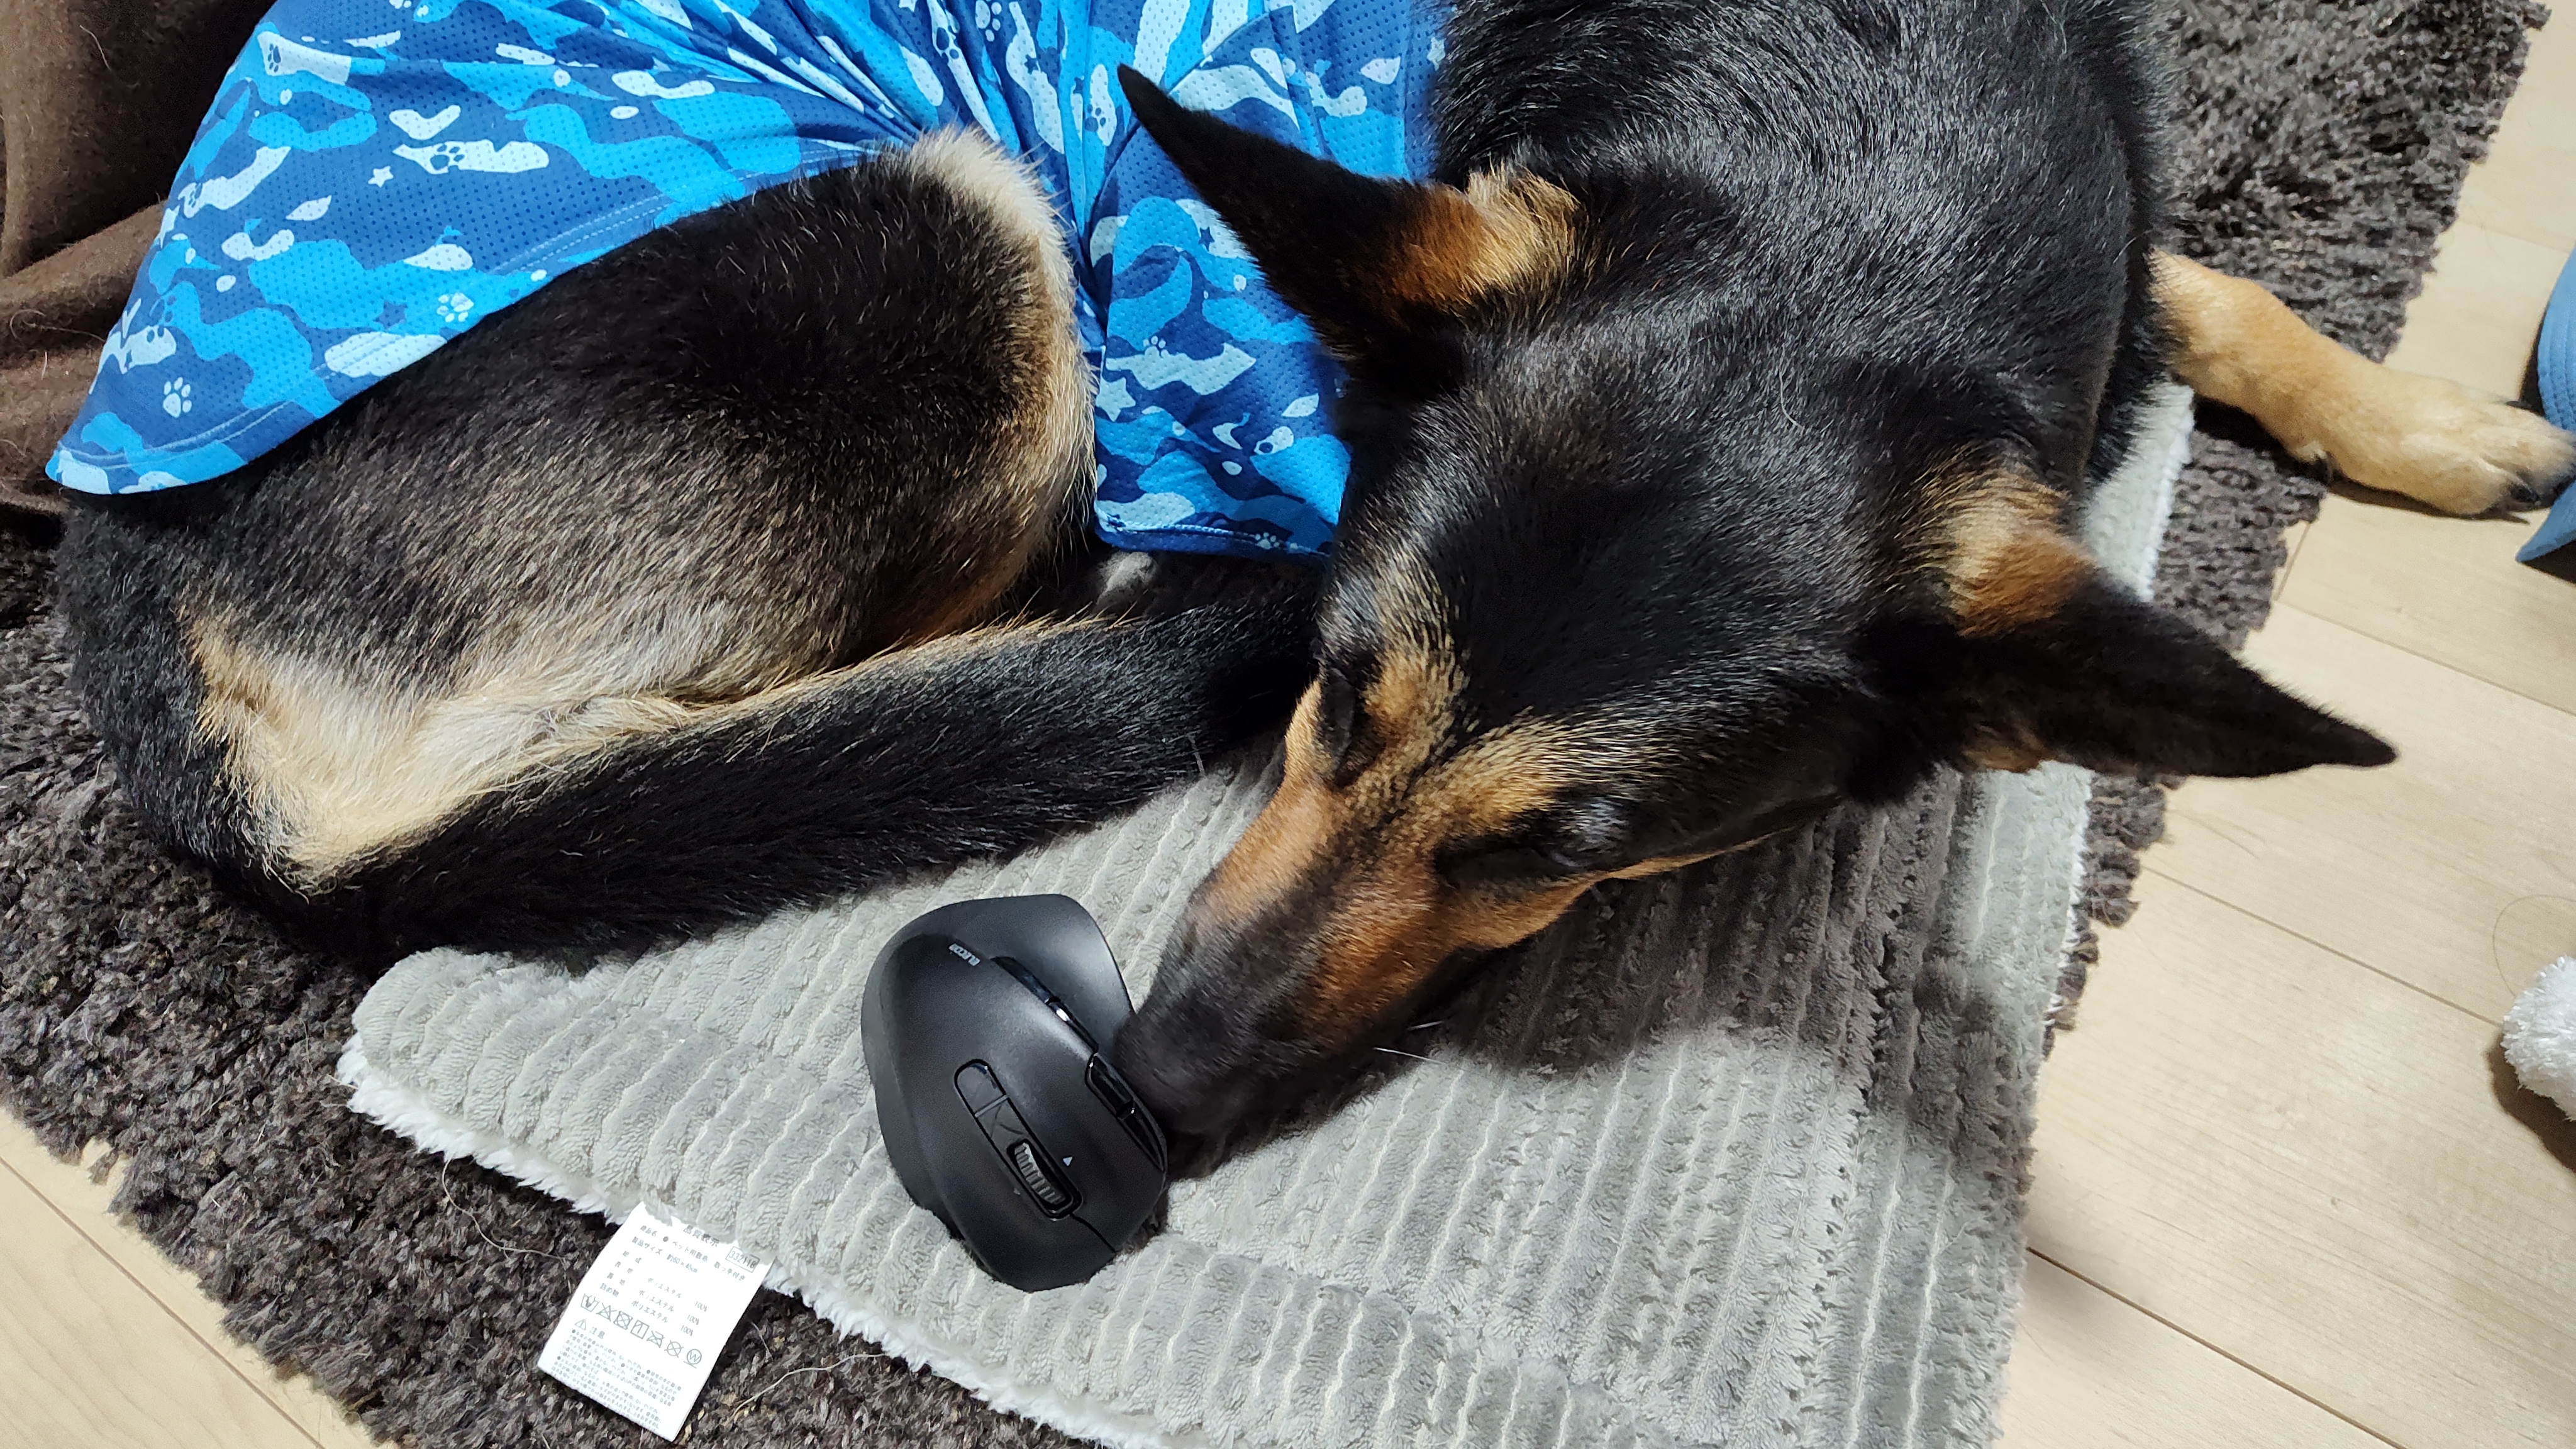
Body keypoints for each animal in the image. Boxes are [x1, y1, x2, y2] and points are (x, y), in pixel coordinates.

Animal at [51, 0, 2574, 1152]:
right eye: (1331, 690)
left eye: (1560, 847)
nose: (1150, 1075)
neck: (1843, 121)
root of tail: (116, 584)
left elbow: (2211, 291)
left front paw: (2436, 428)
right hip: (966, 224)